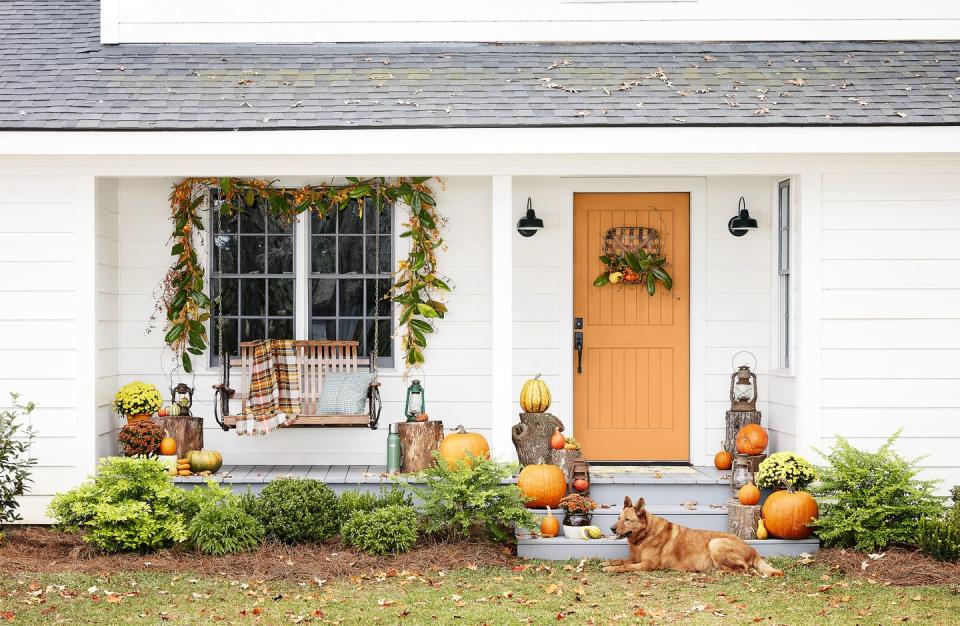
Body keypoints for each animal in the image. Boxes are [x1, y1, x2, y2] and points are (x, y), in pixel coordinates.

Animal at [604, 492, 784, 576]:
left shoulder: (648, 564)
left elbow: (625, 566)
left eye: (627, 520)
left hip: (715, 543)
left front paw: (611, 569)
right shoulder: (635, 558)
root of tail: (753, 549)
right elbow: (621, 560)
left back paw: (719, 572)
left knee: (744, 569)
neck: (644, 536)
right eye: (618, 518)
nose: (611, 528)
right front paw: (608, 563)